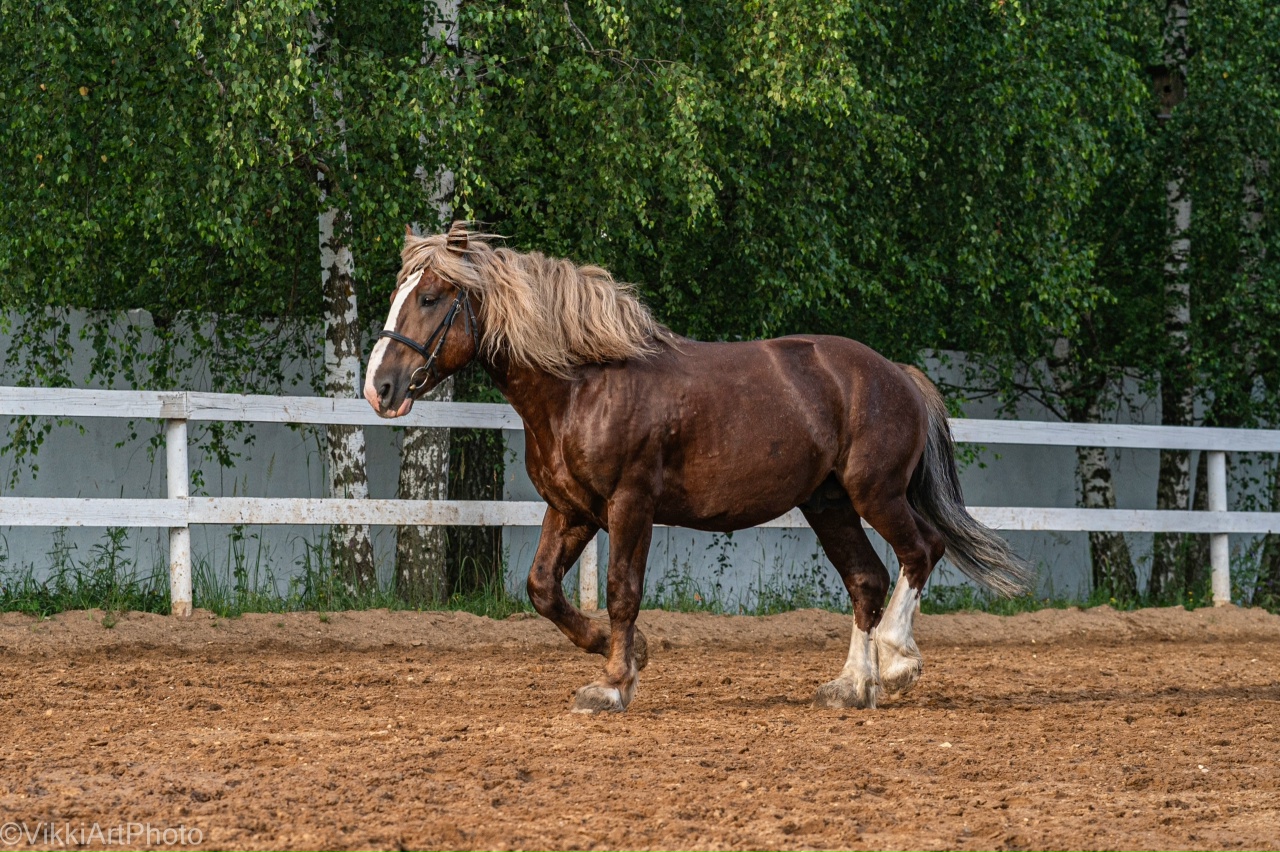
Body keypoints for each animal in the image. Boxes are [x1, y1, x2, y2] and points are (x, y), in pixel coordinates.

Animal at [364, 222, 1032, 714]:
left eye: (429, 298)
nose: (380, 388)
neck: (583, 384)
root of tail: (899, 375)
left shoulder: (630, 505)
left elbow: (622, 592)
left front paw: (613, 685)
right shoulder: (573, 510)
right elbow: (543, 590)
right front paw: (630, 655)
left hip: (877, 493)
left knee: (921, 552)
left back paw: (897, 663)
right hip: (829, 503)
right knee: (867, 580)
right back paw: (851, 687)